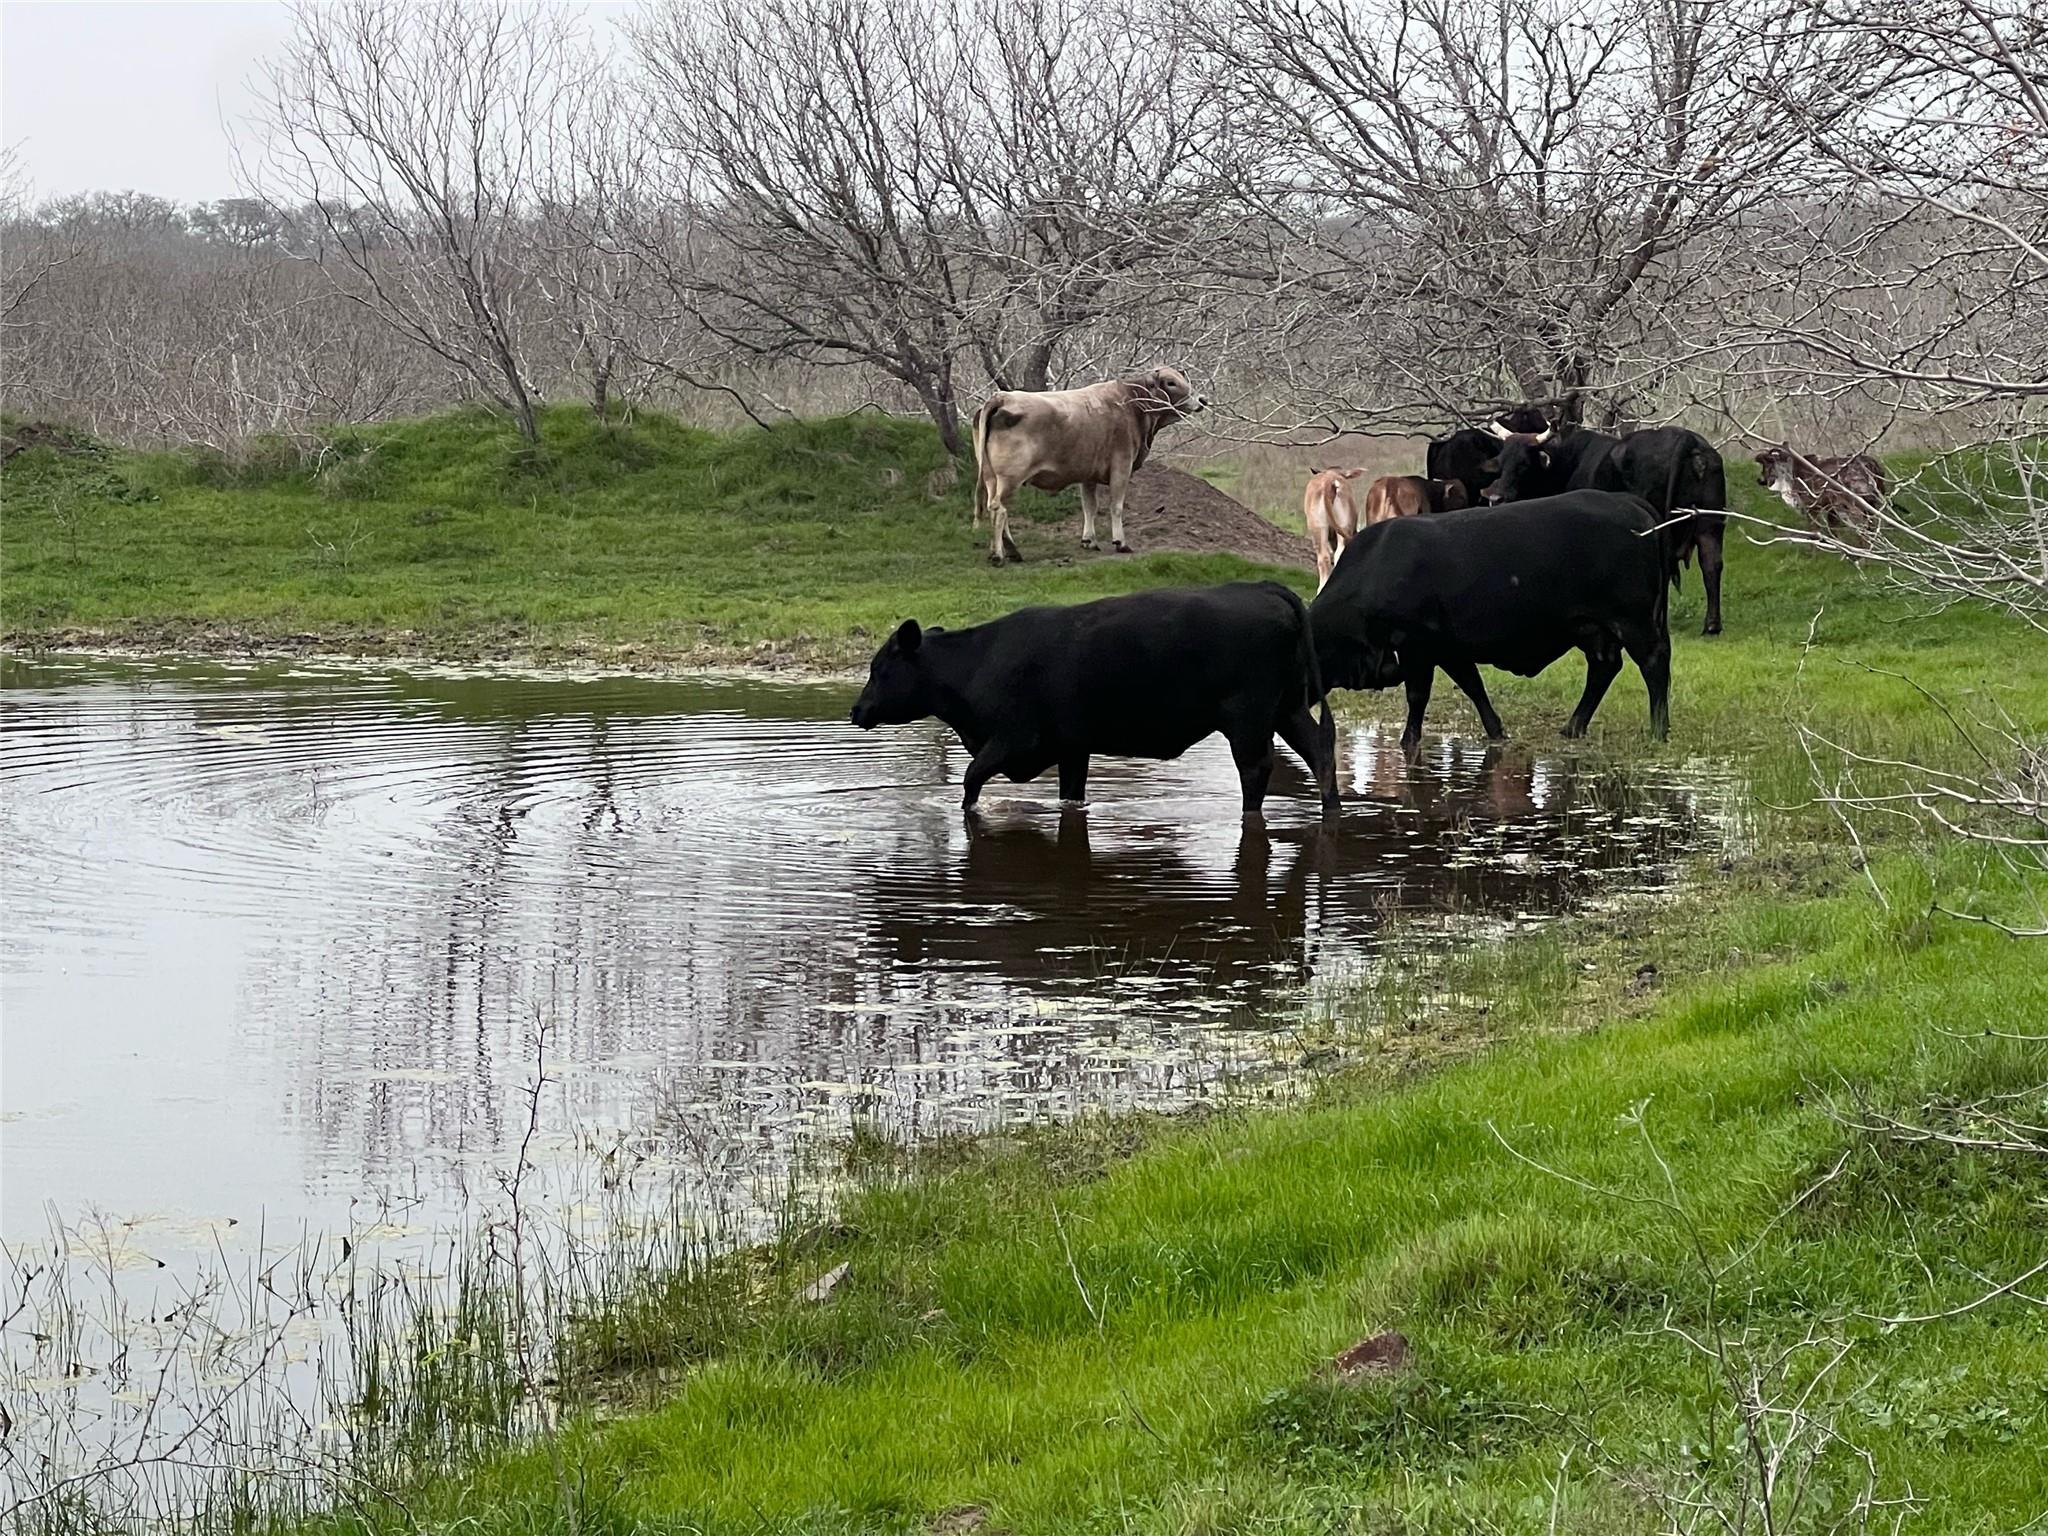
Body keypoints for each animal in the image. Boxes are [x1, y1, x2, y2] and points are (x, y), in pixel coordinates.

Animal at [849, 581, 1339, 819]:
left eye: (881, 669)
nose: (856, 710)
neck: (977, 662)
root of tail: (1261, 587)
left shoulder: (1014, 739)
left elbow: (971, 779)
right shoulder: (1072, 746)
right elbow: (1071, 795)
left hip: (1248, 716)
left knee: (1256, 769)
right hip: (1288, 708)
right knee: (1320, 751)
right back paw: (1330, 808)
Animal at [970, 366, 1207, 565]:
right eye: (1170, 382)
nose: (1202, 399)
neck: (1131, 404)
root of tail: (1002, 397)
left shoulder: (1087, 474)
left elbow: (1089, 507)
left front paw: (1089, 540)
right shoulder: (1121, 466)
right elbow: (1116, 506)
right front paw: (1120, 542)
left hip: (991, 478)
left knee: (996, 508)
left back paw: (1011, 551)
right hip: (1009, 479)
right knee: (999, 509)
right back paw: (998, 555)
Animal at [1311, 492, 1670, 749]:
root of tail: (1626, 501)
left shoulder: (1418, 646)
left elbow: (1418, 696)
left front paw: (1409, 740)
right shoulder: (1447, 648)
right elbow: (1473, 686)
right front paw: (1496, 730)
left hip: (1632, 621)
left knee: (1653, 664)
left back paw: (1658, 729)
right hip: (1593, 629)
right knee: (1604, 668)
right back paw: (1574, 726)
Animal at [1754, 446, 1886, 536]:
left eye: (1766, 464)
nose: (1760, 480)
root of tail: (1874, 466)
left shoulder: (1811, 505)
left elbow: (1814, 532)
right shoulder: (1831, 507)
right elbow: (1833, 530)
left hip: (1857, 503)